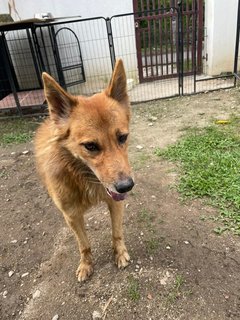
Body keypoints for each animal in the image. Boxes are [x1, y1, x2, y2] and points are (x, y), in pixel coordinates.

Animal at [34, 58, 134, 282]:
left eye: (122, 137)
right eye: (90, 146)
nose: (126, 186)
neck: (85, 178)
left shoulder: (115, 203)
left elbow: (117, 233)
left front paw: (120, 253)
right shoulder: (71, 216)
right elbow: (84, 244)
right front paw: (86, 265)